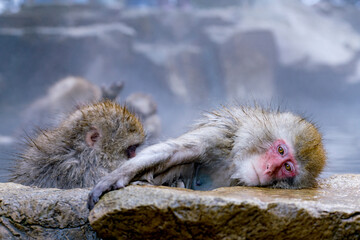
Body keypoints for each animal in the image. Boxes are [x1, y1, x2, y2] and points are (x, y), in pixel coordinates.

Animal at [88, 106, 326, 209]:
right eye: (281, 150)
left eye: (288, 168)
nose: (269, 168)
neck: (234, 165)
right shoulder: (222, 135)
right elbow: (173, 151)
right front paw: (116, 178)